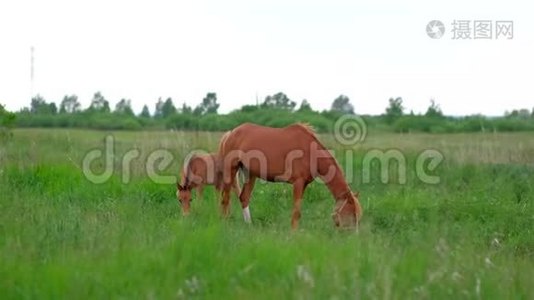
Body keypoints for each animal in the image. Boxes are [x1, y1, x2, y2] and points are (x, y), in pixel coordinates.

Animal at [218, 123, 364, 229]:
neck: (310, 151)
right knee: (225, 199)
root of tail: (231, 133)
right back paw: (225, 224)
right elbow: (296, 212)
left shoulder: (304, 185)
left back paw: (249, 226)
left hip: (250, 174)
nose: (352, 239)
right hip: (231, 170)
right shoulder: (298, 183)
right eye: (353, 214)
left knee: (244, 198)